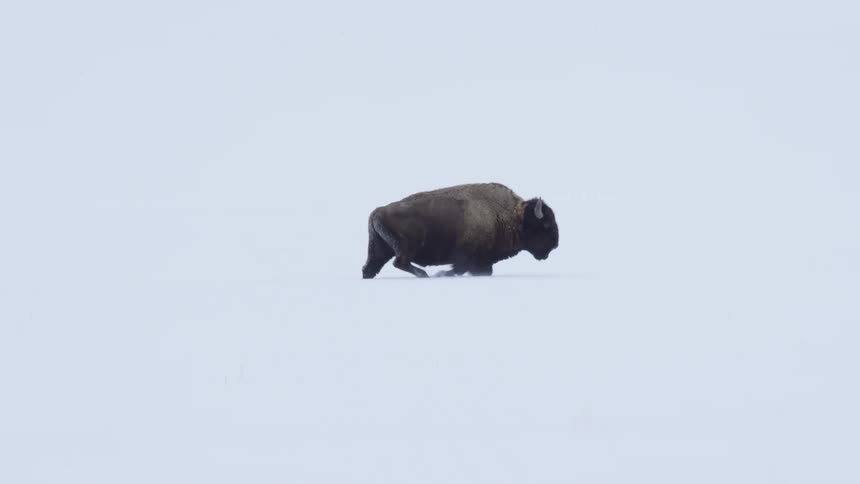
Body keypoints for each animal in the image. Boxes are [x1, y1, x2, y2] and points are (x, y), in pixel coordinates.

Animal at [362, 183, 559, 278]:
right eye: (546, 225)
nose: (555, 244)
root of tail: (377, 211)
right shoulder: (468, 258)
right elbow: (458, 268)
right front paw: (441, 274)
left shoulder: (482, 262)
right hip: (406, 248)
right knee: (400, 262)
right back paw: (425, 275)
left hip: (379, 250)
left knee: (370, 268)